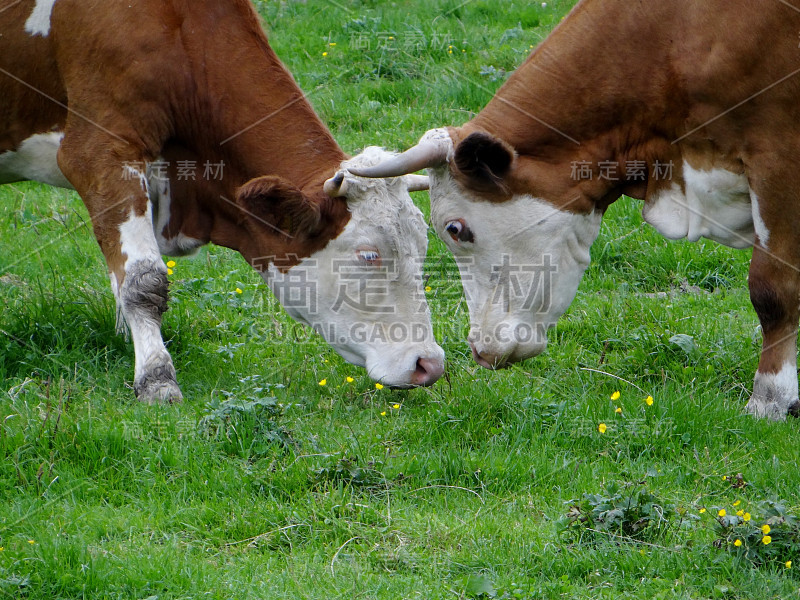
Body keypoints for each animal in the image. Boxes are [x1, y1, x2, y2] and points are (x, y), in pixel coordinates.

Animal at [0, 2, 446, 404]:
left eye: (423, 247)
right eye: (368, 255)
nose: (429, 363)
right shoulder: (99, 151)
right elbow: (144, 280)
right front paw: (156, 378)